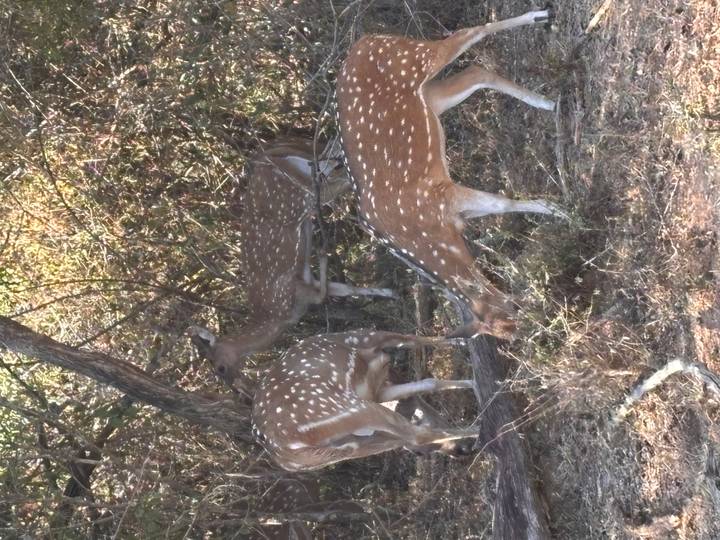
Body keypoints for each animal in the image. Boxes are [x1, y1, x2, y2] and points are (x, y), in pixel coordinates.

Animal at [191, 138, 395, 386]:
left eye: (219, 367)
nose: (237, 385)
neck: (275, 319)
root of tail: (265, 157)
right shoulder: (307, 282)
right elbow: (346, 289)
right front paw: (390, 292)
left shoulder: (293, 288)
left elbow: (323, 294)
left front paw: (322, 252)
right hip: (307, 168)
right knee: (331, 161)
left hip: (299, 195)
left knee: (335, 183)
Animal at [251, 330, 477, 471]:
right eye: (419, 454)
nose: (461, 451)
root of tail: (283, 448)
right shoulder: (364, 336)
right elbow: (415, 339)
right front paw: (466, 344)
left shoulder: (379, 392)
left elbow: (428, 382)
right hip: (346, 407)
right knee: (416, 435)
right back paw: (480, 429)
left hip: (354, 445)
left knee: (405, 435)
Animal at [336, 9, 568, 339]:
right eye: (511, 320)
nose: (544, 327)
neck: (433, 233)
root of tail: (364, 40)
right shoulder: (454, 210)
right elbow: (498, 207)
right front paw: (556, 208)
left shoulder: (441, 195)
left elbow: (503, 203)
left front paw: (560, 209)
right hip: (431, 97)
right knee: (475, 71)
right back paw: (546, 102)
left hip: (415, 57)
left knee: (466, 34)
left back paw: (540, 16)